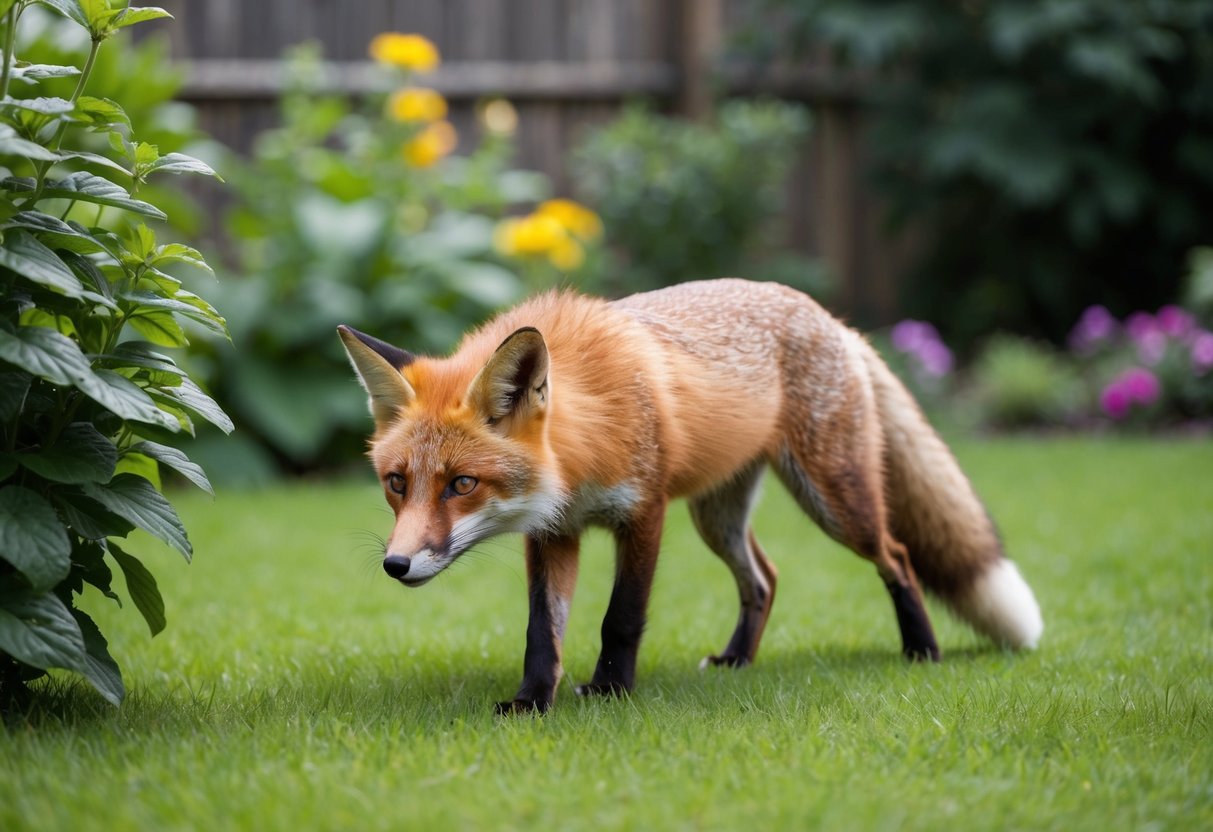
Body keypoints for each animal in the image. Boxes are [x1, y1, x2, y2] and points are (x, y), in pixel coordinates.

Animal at [338, 278, 1043, 714]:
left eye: (462, 484)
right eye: (397, 483)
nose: (395, 564)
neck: (584, 444)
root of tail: (829, 318)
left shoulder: (644, 513)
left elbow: (620, 617)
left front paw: (611, 690)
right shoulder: (555, 531)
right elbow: (543, 630)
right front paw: (533, 702)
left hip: (835, 502)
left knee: (896, 555)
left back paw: (922, 649)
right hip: (717, 516)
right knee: (765, 577)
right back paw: (737, 660)